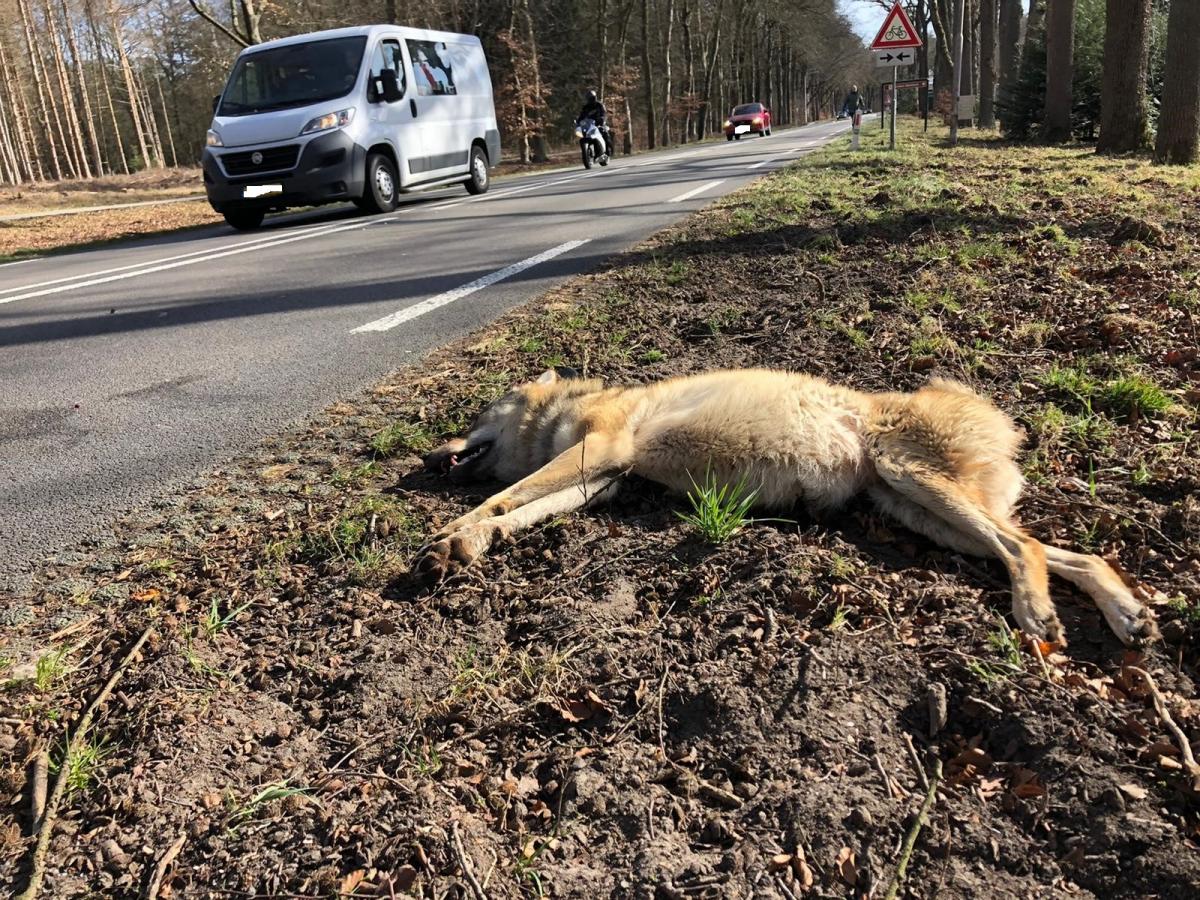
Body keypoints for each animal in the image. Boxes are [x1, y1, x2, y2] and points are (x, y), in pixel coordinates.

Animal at [417, 367, 1159, 647]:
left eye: (475, 417)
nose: (426, 456)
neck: (568, 413)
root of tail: (999, 420)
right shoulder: (599, 479)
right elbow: (514, 512)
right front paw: (468, 546)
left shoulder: (598, 454)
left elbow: (500, 496)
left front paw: (452, 531)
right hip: (925, 517)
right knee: (1071, 555)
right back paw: (1128, 616)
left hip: (919, 489)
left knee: (1025, 548)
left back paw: (1037, 615)